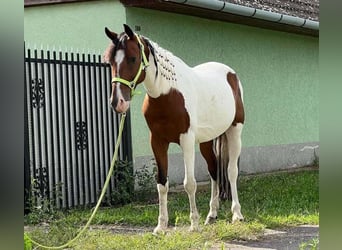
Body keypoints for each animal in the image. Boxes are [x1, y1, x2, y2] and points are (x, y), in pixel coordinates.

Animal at [103, 24, 244, 233]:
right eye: (110, 61)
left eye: (133, 58)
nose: (117, 103)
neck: (167, 93)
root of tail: (230, 74)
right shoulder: (157, 141)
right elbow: (162, 183)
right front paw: (161, 226)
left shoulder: (186, 140)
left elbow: (190, 183)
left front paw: (194, 224)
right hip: (206, 141)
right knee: (213, 170)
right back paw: (212, 214)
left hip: (235, 131)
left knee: (231, 171)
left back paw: (237, 214)